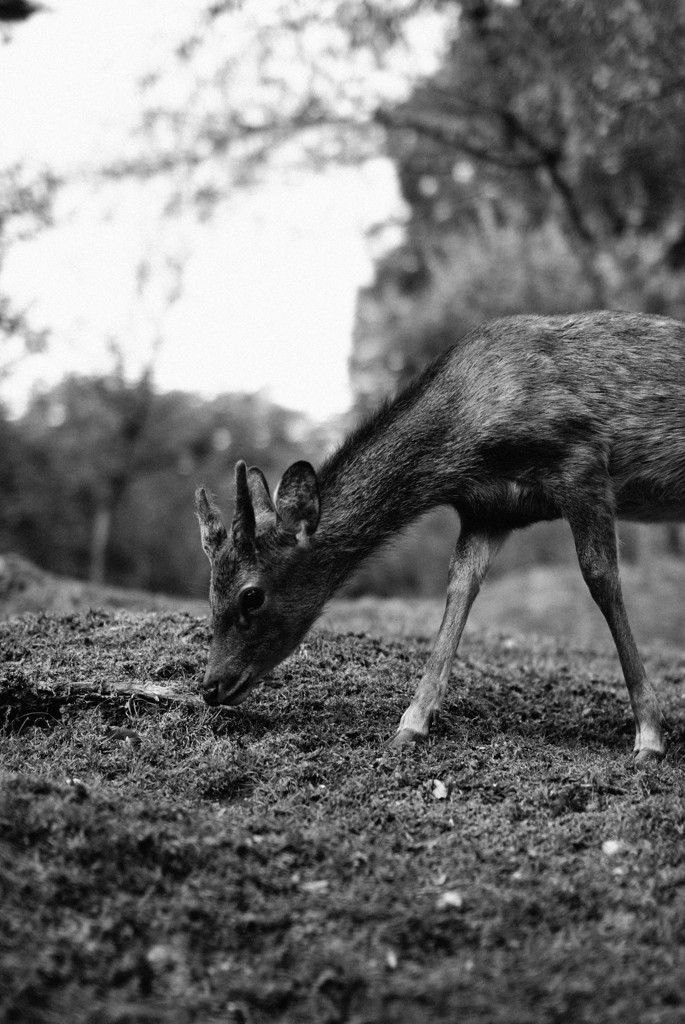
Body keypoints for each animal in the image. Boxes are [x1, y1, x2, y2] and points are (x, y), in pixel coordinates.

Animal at [192, 307, 683, 765]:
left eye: (252, 596)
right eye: (211, 589)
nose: (211, 686)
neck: (465, 453)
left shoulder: (582, 461)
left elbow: (601, 580)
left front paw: (649, 737)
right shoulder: (489, 511)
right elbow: (460, 588)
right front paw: (410, 725)